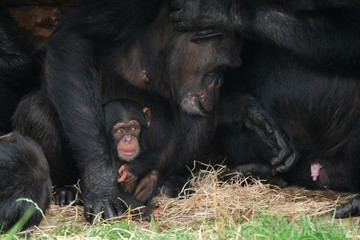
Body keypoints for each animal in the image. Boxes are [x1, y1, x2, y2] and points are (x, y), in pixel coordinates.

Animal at [12, 0, 296, 222]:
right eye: (221, 69)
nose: (217, 88)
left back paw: (171, 182)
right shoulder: (125, 7)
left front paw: (256, 117)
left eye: (229, 70)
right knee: (36, 107)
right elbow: (74, 40)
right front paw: (101, 184)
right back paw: (65, 190)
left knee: (196, 117)